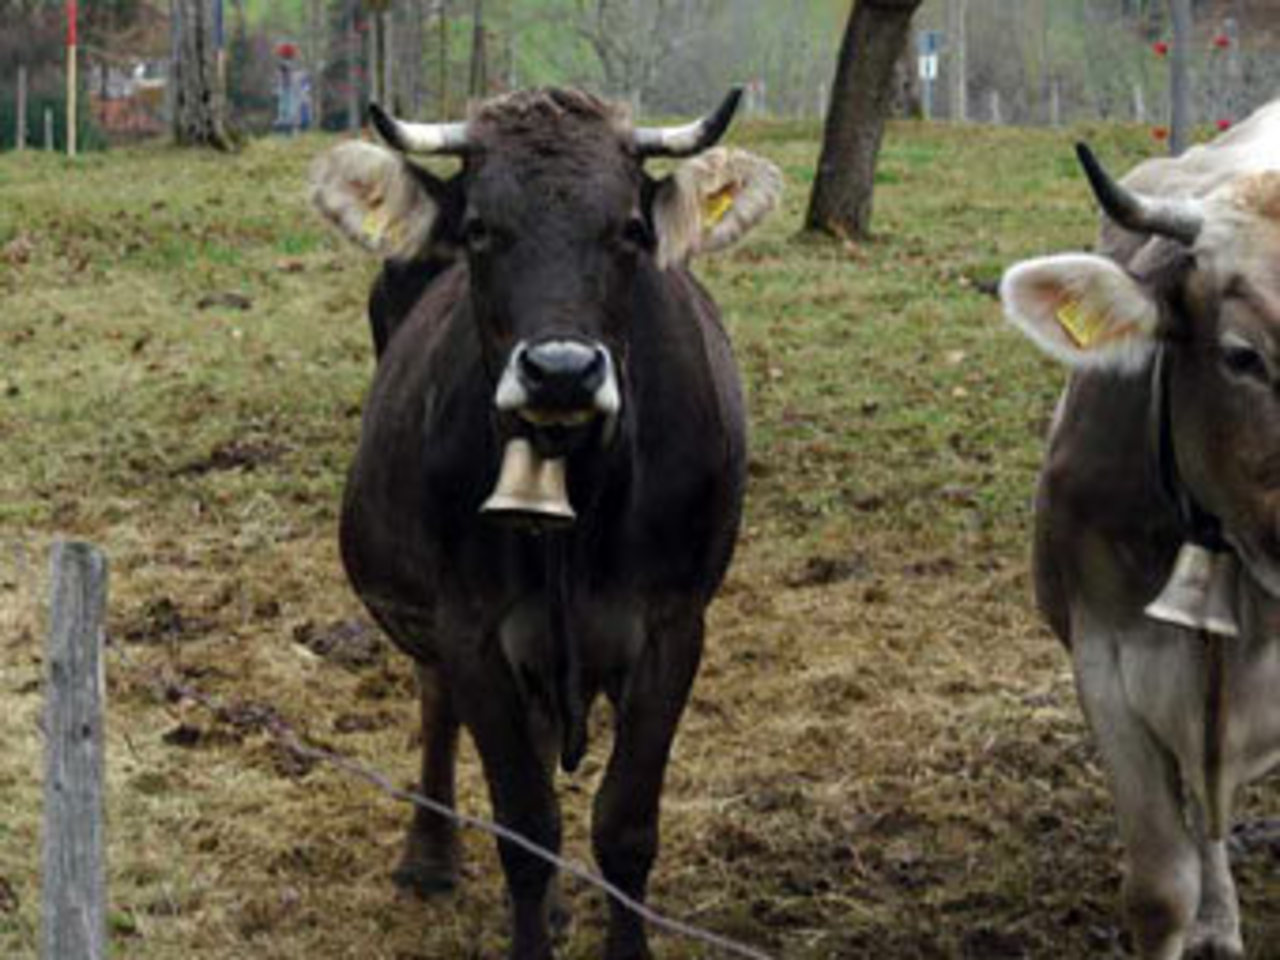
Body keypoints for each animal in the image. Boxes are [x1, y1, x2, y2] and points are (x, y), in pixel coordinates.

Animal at [308, 88, 781, 960]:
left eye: (629, 229)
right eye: (478, 229)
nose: (560, 370)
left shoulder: (674, 628)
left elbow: (625, 825)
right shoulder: (472, 628)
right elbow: (526, 827)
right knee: (437, 702)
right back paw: (430, 856)